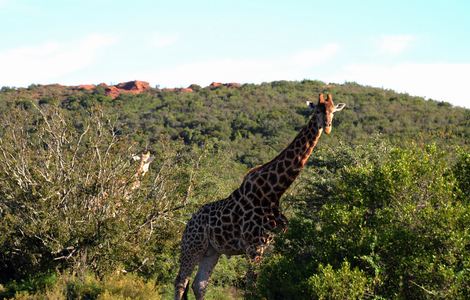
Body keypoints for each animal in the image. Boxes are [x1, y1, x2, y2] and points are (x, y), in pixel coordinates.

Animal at [173, 92, 346, 298]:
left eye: (333, 111)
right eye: (318, 111)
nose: (327, 126)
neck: (273, 192)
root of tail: (188, 222)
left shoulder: (270, 246)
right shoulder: (254, 246)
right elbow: (251, 288)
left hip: (212, 251)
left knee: (199, 284)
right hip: (193, 246)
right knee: (181, 281)